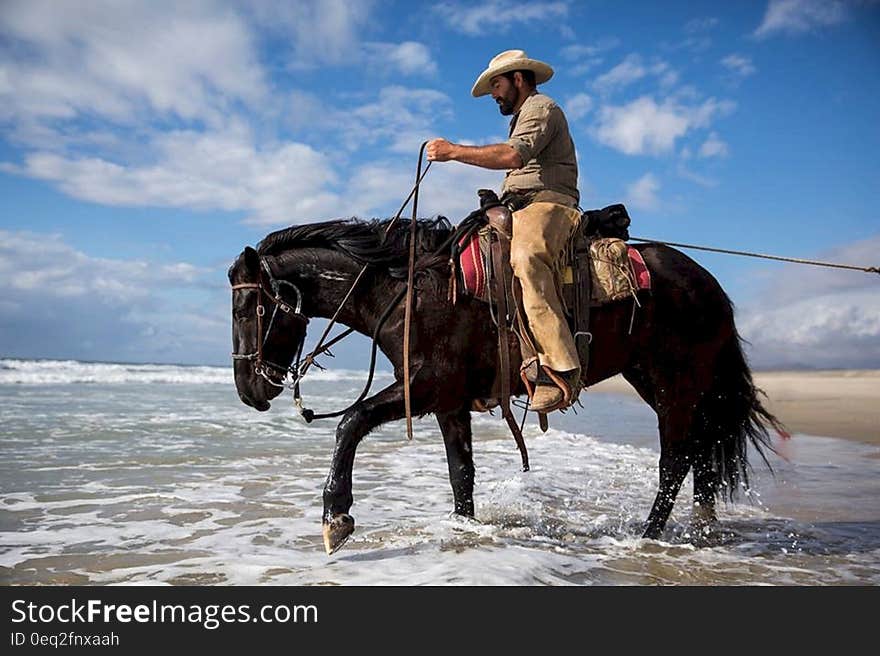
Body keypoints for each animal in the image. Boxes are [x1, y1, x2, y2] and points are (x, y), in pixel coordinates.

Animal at [229, 219, 784, 552]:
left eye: (247, 308)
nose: (248, 391)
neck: (410, 290)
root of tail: (708, 283)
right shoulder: (448, 402)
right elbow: (461, 474)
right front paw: (464, 528)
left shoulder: (424, 386)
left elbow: (350, 422)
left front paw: (336, 517)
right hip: (657, 380)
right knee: (700, 453)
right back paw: (700, 529)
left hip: (676, 384)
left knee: (675, 460)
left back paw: (648, 536)